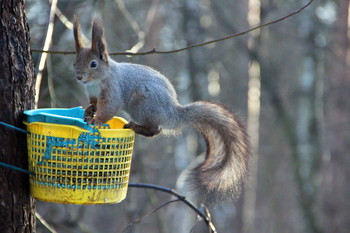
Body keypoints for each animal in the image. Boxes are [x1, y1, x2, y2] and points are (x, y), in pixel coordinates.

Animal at [73, 16, 249, 202]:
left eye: (93, 64)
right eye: (74, 62)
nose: (79, 77)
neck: (96, 82)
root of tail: (172, 114)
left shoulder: (113, 89)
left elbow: (109, 109)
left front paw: (95, 120)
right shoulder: (92, 93)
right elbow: (93, 103)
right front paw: (88, 112)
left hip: (142, 104)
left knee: (155, 130)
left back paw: (135, 126)